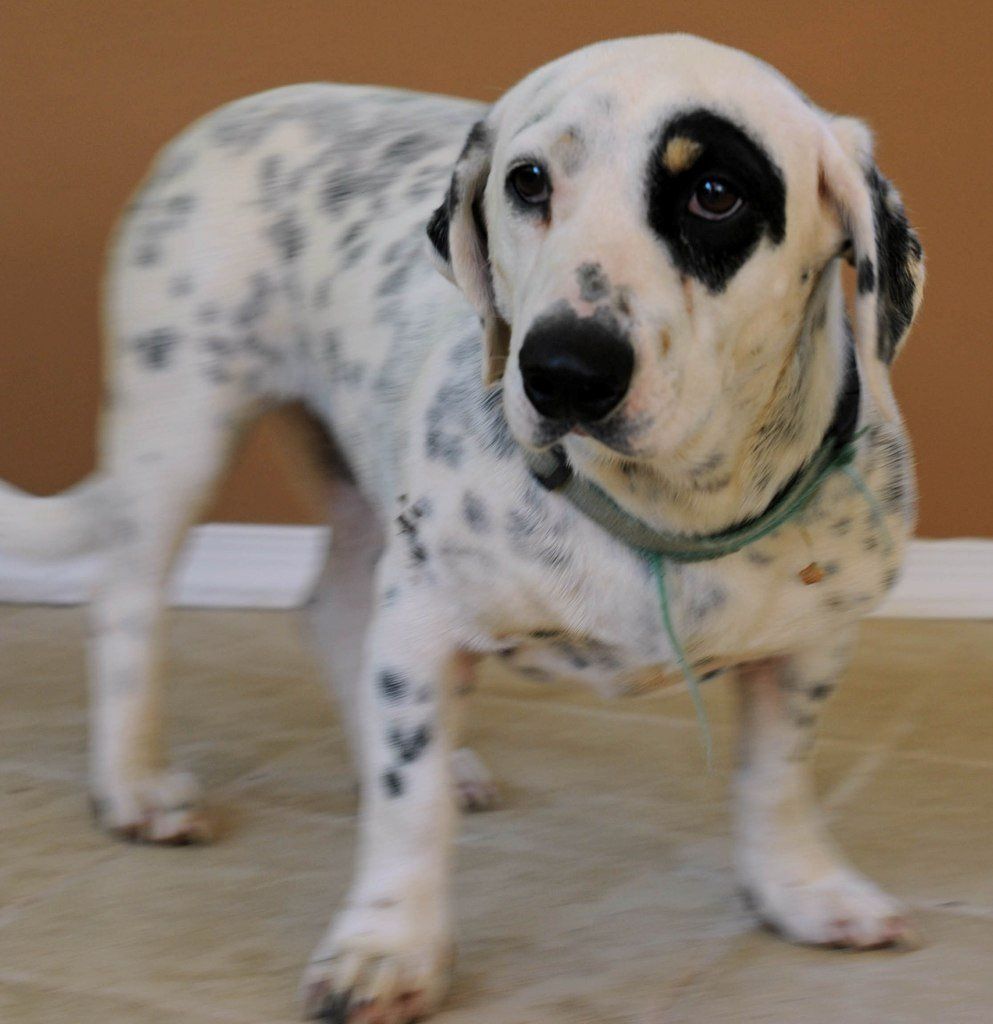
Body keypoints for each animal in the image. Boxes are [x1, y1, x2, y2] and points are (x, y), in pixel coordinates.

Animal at [3, 34, 925, 1024]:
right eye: (528, 181)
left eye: (716, 192)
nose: (564, 370)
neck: (665, 505)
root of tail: (244, 106)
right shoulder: (423, 619)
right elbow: (406, 813)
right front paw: (387, 946)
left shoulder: (813, 642)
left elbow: (776, 778)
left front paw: (801, 888)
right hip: (177, 426)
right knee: (126, 600)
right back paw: (134, 784)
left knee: (330, 613)